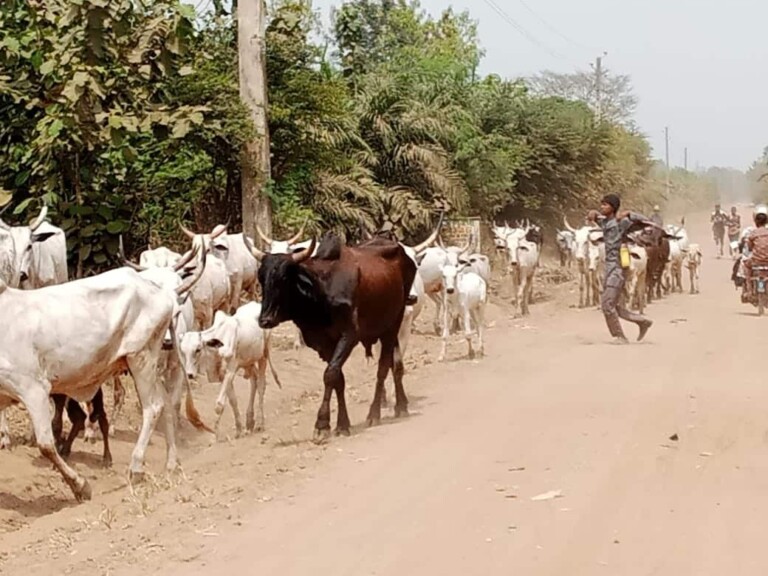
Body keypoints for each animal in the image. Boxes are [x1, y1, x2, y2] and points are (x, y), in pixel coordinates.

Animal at [181, 302, 282, 436]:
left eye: (198, 349)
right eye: (182, 350)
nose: (189, 374)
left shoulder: (231, 370)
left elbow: (219, 406)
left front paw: (216, 434)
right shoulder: (223, 375)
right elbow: (232, 401)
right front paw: (239, 429)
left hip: (263, 355)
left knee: (261, 385)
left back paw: (260, 423)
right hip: (248, 362)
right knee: (254, 381)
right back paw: (250, 420)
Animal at [244, 232, 414, 444]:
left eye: (284, 277)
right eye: (261, 277)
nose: (265, 319)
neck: (320, 292)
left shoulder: (349, 336)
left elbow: (330, 375)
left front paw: (322, 425)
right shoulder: (323, 344)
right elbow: (338, 378)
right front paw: (342, 424)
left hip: (393, 324)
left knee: (383, 368)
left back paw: (374, 413)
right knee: (395, 363)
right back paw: (401, 405)